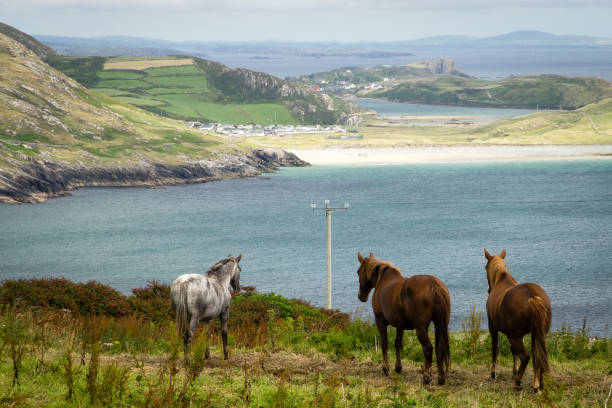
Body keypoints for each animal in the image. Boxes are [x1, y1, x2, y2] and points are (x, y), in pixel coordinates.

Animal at [358, 250, 450, 384]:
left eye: (358, 271)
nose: (361, 296)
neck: (383, 281)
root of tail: (434, 286)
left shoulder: (380, 320)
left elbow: (384, 343)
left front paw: (386, 369)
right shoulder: (399, 324)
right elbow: (398, 343)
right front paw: (398, 367)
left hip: (421, 328)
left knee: (428, 349)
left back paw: (426, 377)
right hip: (440, 325)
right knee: (439, 349)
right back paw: (441, 378)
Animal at [486, 249, 552, 392]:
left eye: (485, 267)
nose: (488, 289)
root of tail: (532, 297)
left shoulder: (493, 327)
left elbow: (495, 350)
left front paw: (493, 374)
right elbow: (513, 351)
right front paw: (514, 371)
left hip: (515, 336)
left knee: (526, 356)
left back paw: (518, 382)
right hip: (537, 333)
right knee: (537, 355)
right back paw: (537, 384)